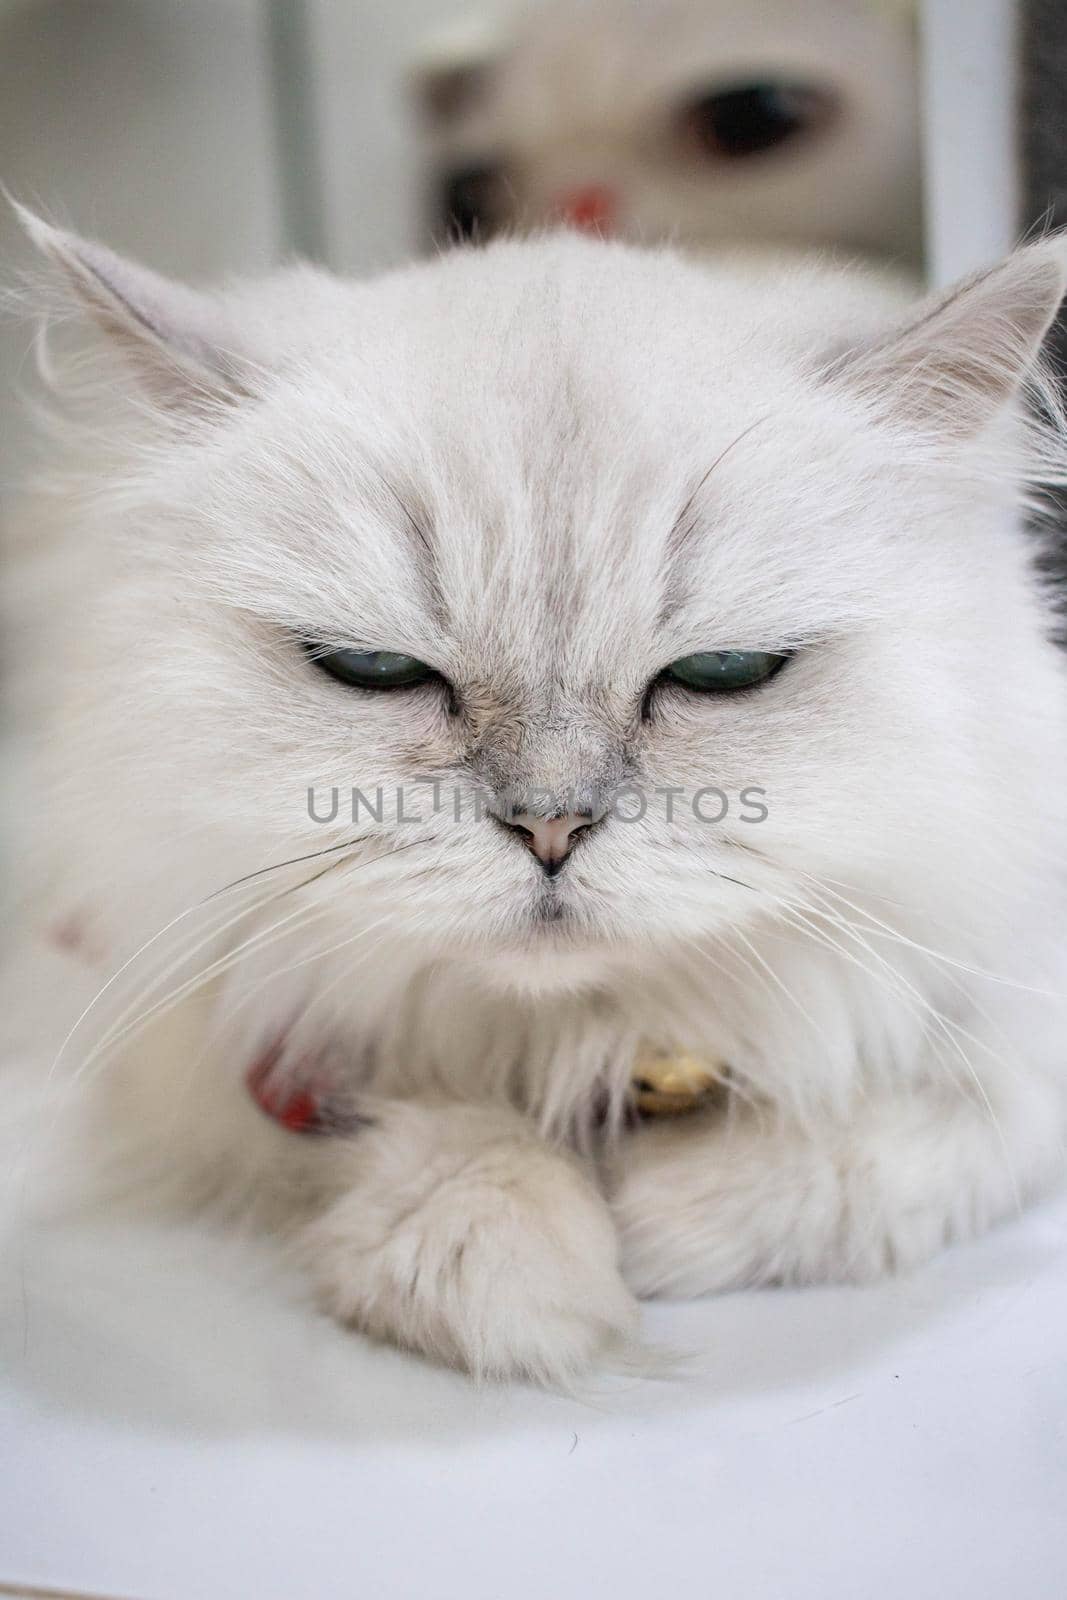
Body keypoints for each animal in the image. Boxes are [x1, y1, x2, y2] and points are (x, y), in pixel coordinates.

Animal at [6, 209, 1067, 1388]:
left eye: (725, 671)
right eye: (372, 668)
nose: (549, 824)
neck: (564, 1047)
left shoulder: (1016, 1010)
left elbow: (906, 1135)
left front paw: (653, 1222)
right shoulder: (183, 1038)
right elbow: (400, 1129)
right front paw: (518, 1271)